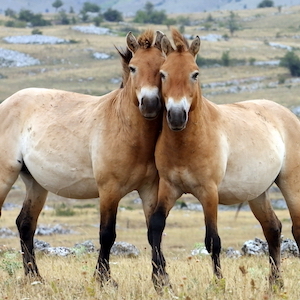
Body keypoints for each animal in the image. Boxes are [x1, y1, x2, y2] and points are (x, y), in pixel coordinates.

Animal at [0, 29, 164, 286]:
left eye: (162, 68)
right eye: (133, 68)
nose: (149, 104)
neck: (125, 128)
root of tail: (7, 102)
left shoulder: (150, 189)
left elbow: (153, 232)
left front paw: (161, 280)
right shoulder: (109, 190)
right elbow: (107, 234)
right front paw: (103, 279)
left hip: (36, 183)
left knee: (25, 224)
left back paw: (35, 276)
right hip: (5, 176)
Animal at [147, 28, 300, 290]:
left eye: (195, 74)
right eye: (163, 74)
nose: (177, 116)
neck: (187, 143)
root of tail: (288, 114)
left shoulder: (209, 193)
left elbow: (212, 241)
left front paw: (219, 283)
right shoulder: (169, 188)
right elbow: (156, 228)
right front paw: (160, 282)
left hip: (291, 185)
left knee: (296, 229)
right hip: (257, 193)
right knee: (273, 229)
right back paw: (275, 283)